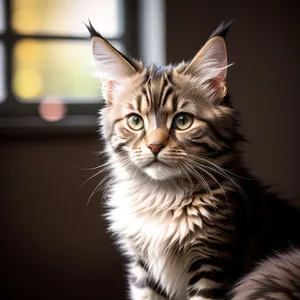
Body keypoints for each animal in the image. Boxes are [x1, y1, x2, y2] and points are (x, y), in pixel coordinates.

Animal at [85, 21, 300, 300]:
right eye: (135, 121)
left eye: (182, 121)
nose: (154, 146)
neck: (161, 198)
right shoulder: (143, 269)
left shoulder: (213, 262)